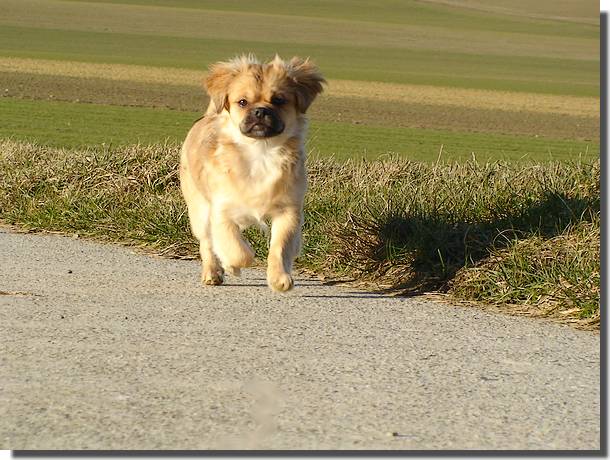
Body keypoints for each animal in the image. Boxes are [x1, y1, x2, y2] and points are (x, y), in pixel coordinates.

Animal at [179, 54, 326, 292]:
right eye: (242, 102)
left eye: (278, 100)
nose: (260, 111)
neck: (260, 152)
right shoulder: (221, 212)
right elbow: (237, 250)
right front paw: (233, 265)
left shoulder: (289, 212)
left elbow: (280, 247)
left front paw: (279, 278)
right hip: (200, 210)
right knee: (208, 243)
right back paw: (213, 272)